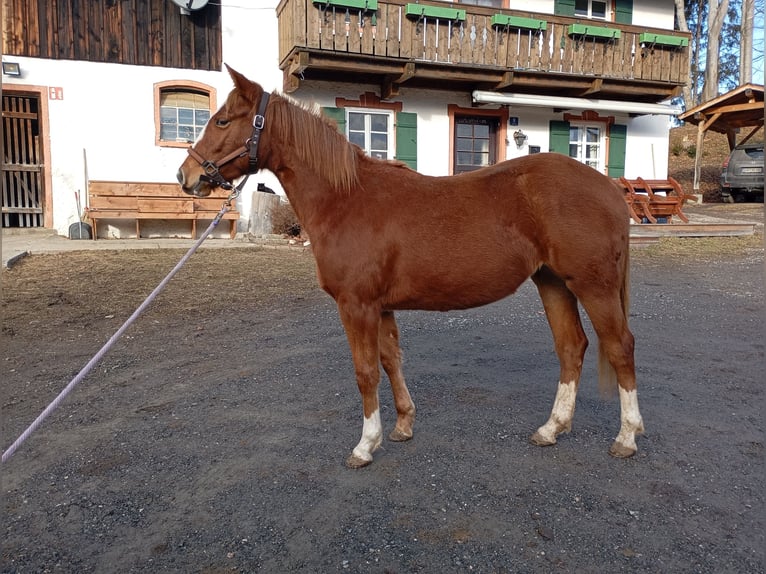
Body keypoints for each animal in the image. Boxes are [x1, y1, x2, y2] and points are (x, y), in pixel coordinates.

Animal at [177, 66, 644, 469]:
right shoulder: (380, 307)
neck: (346, 198)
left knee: (619, 346)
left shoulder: (357, 306)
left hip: (593, 285)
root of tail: (608, 188)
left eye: (223, 121)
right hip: (553, 283)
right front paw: (402, 425)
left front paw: (365, 445)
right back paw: (552, 428)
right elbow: (390, 362)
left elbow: (366, 372)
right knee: (572, 347)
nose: (187, 175)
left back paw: (626, 436)